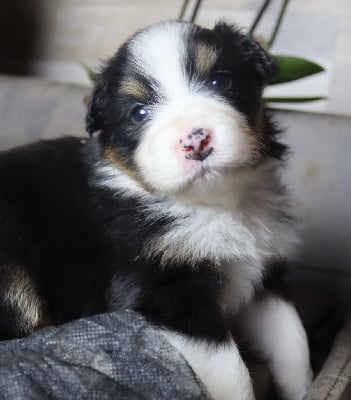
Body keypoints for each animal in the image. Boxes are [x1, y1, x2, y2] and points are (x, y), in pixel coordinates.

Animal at [0, 21, 314, 400]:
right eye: (139, 113)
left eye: (219, 81)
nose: (196, 141)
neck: (218, 205)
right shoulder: (169, 291)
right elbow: (231, 371)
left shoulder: (263, 275)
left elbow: (292, 337)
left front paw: (304, 388)